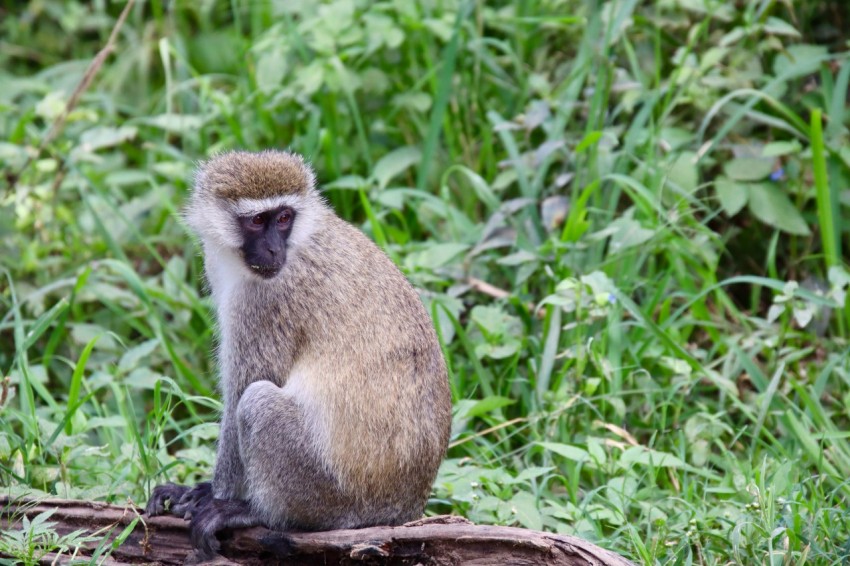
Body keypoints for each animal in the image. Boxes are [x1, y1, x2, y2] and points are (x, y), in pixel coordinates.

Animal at [146, 150, 450, 560]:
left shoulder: (267, 303)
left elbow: (243, 391)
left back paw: (258, 513)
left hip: (330, 497)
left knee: (257, 402)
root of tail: (403, 508)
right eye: (259, 220)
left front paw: (213, 496)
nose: (275, 250)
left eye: (284, 218)